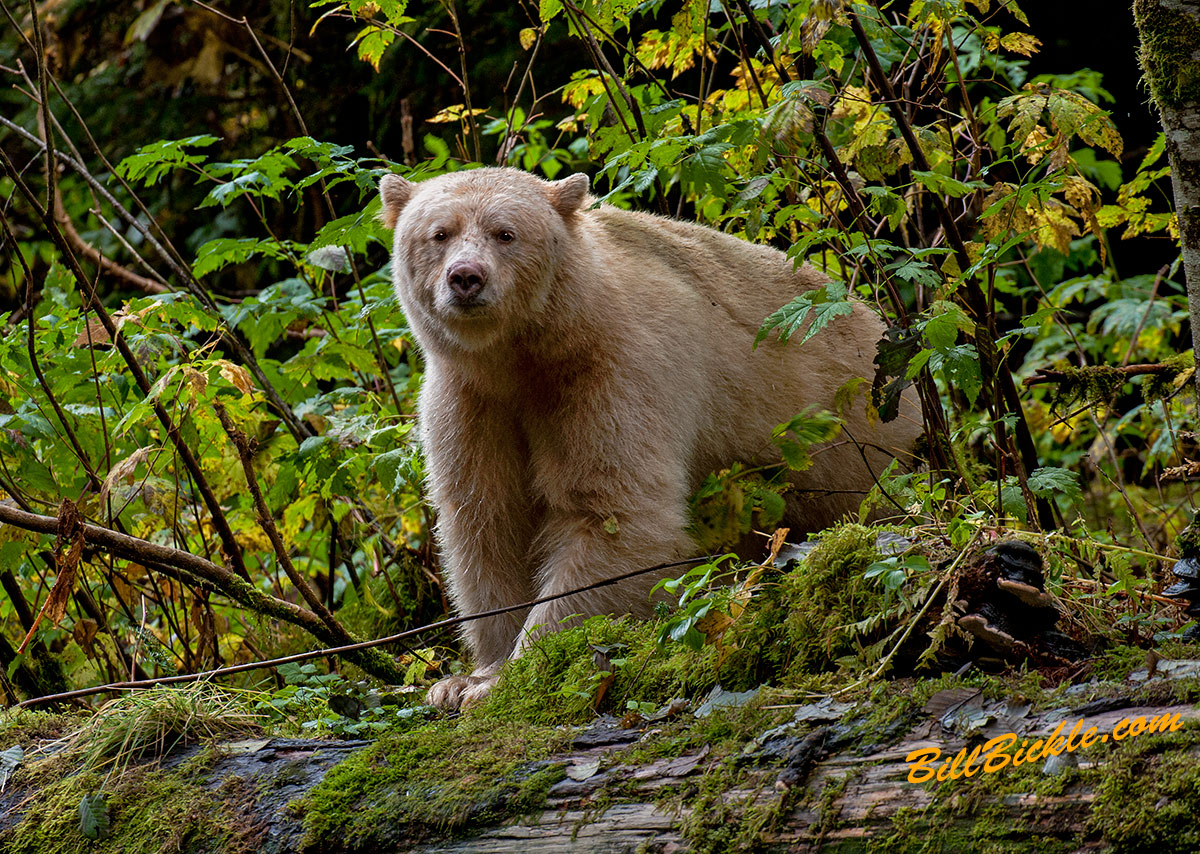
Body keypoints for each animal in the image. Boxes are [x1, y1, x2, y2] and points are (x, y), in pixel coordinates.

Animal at [378, 167, 922, 709]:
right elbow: (486, 522)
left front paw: (508, 676)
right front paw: (465, 679)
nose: (466, 277)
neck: (524, 355)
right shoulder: (470, 400)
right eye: (439, 234)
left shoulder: (616, 367)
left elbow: (616, 513)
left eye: (505, 233)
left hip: (861, 436)